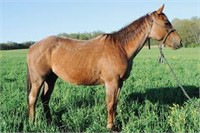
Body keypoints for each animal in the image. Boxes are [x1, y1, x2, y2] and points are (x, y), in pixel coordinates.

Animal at [27, 4, 182, 129]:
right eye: (166, 22)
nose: (179, 42)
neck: (120, 47)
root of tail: (33, 46)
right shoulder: (111, 82)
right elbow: (110, 104)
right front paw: (110, 126)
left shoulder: (119, 83)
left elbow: (115, 104)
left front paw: (115, 124)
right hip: (38, 79)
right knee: (33, 99)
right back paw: (33, 124)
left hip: (51, 79)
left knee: (45, 99)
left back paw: (50, 122)